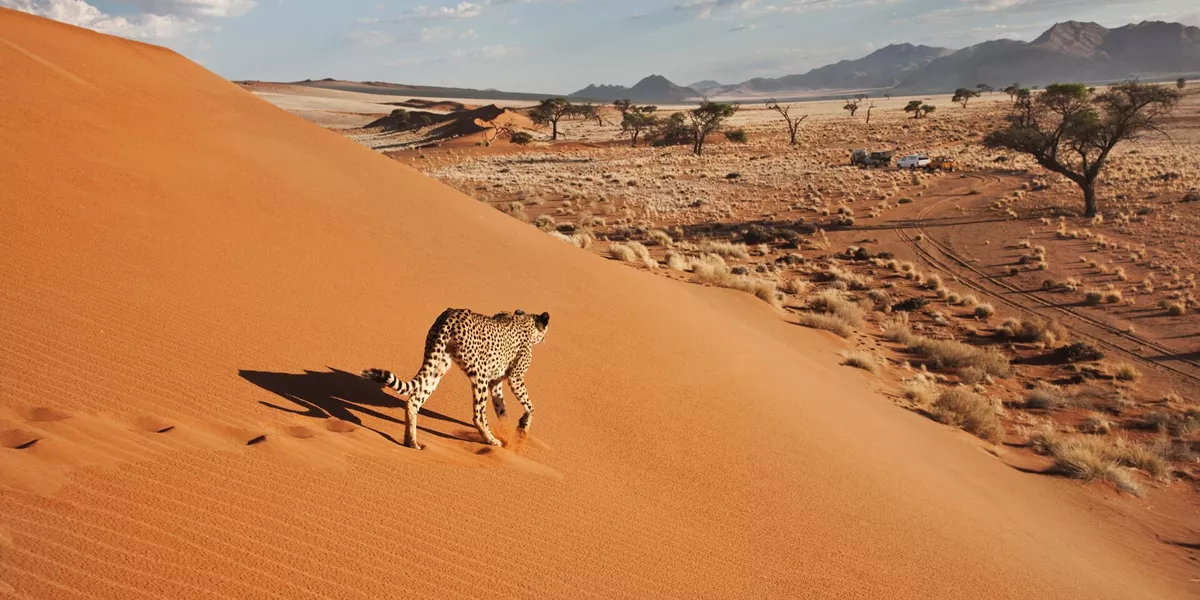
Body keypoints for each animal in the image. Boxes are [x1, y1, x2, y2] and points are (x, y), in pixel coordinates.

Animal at [362, 307, 550, 449]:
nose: (545, 339)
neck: (524, 321)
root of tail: (452, 315)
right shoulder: (514, 378)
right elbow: (530, 406)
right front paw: (522, 427)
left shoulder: (495, 383)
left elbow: (502, 409)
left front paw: (508, 431)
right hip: (479, 374)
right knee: (478, 415)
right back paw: (491, 440)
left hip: (437, 366)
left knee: (413, 400)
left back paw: (412, 442)